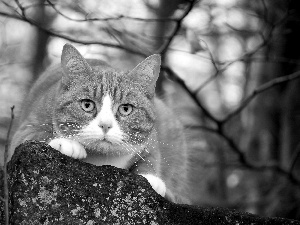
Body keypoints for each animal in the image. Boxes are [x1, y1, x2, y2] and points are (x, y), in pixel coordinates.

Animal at [8, 44, 190, 204]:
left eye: (125, 109)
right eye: (87, 105)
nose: (105, 125)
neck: (101, 159)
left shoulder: (151, 141)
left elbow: (151, 158)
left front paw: (151, 178)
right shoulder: (24, 130)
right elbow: (38, 134)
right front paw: (67, 143)